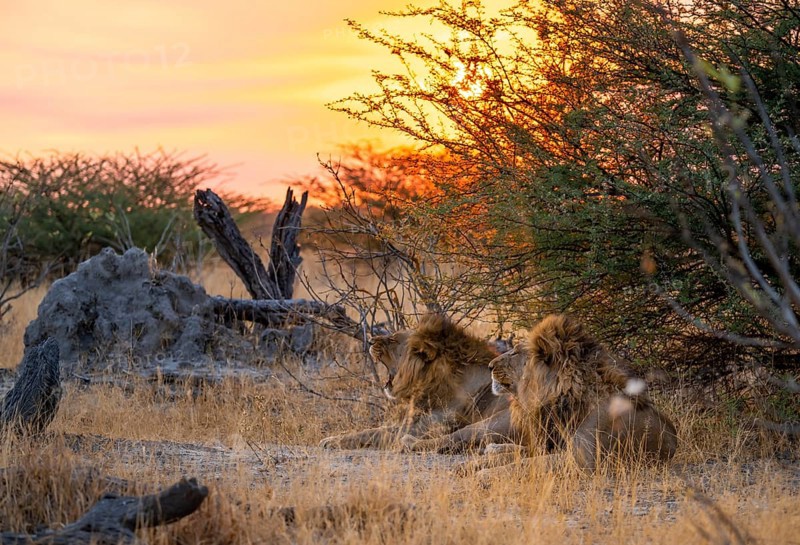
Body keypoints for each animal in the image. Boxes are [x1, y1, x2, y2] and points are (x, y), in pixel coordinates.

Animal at [319, 313, 510, 450]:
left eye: (393, 339)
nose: (371, 340)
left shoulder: (419, 427)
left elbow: (374, 433)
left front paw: (331, 441)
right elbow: (370, 429)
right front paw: (336, 436)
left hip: (491, 422)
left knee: (448, 440)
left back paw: (408, 442)